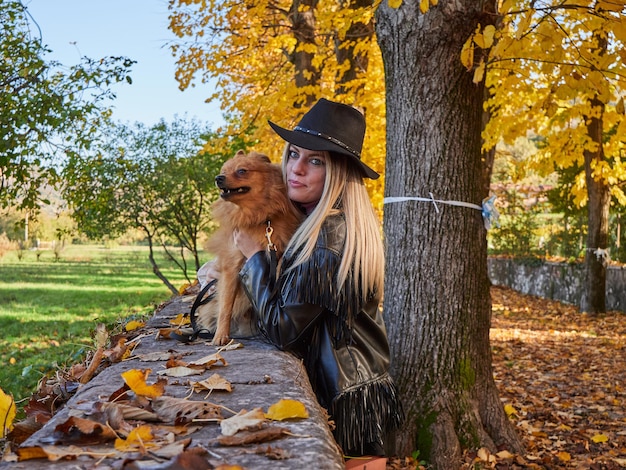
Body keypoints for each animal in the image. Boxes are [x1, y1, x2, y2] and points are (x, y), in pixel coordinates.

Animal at [196, 151, 302, 346]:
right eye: (223, 171)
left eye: (241, 171)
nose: (218, 178)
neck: (257, 217)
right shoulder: (232, 266)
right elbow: (226, 306)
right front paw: (221, 335)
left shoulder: (278, 253)